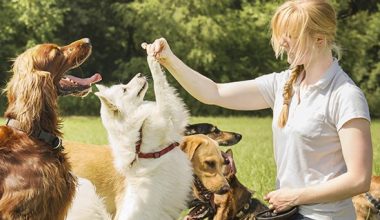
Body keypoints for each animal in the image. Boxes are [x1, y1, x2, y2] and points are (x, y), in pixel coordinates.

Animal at [92, 55, 193, 220]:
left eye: (123, 85)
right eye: (125, 89)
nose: (139, 74)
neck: (139, 131)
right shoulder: (169, 116)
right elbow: (160, 86)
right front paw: (152, 60)